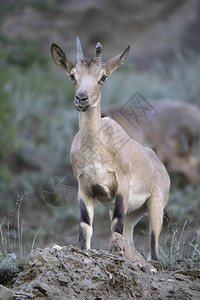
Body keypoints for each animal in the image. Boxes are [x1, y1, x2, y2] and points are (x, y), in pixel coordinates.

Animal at [50, 37, 170, 262]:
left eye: (103, 77)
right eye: (72, 75)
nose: (82, 99)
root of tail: (159, 164)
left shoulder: (121, 186)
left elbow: (116, 225)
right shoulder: (84, 188)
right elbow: (85, 227)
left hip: (155, 205)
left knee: (154, 248)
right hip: (134, 214)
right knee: (130, 240)